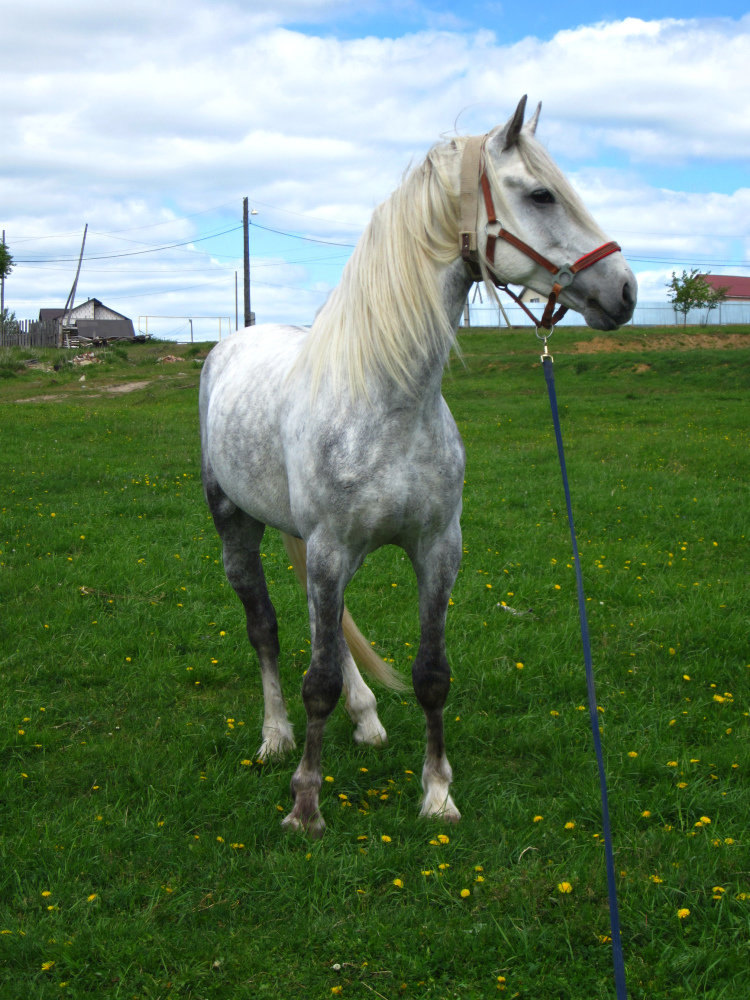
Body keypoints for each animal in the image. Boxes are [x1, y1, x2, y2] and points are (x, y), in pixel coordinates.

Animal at [200, 95, 636, 836]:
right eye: (541, 194)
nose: (626, 291)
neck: (388, 400)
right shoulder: (329, 549)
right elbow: (314, 678)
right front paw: (305, 805)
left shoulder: (437, 547)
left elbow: (431, 673)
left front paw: (436, 794)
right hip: (239, 525)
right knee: (267, 629)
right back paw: (276, 736)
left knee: (330, 632)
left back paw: (366, 718)